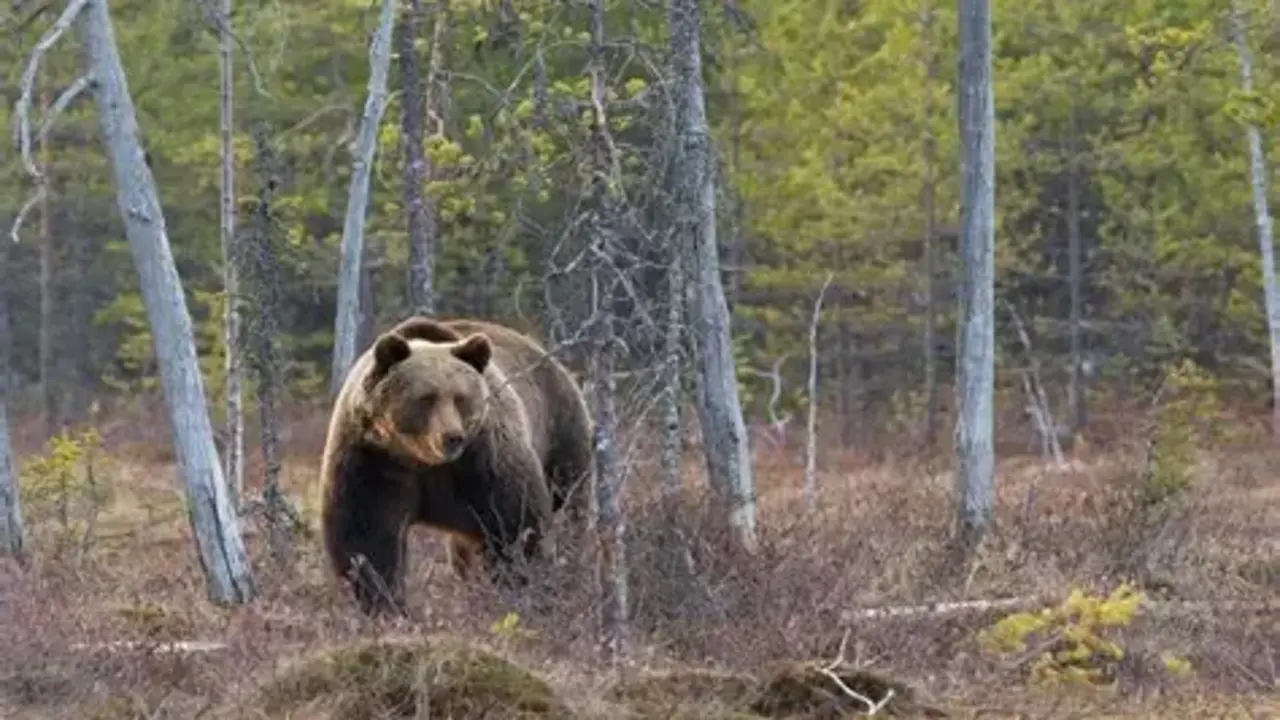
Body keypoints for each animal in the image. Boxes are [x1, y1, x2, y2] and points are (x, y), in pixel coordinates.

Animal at [319, 315, 595, 616]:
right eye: (426, 397)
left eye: (460, 397)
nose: (452, 436)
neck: (422, 460)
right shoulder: (372, 458)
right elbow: (367, 535)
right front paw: (383, 604)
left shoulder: (484, 459)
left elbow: (515, 524)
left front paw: (519, 590)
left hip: (560, 434)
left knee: (568, 506)